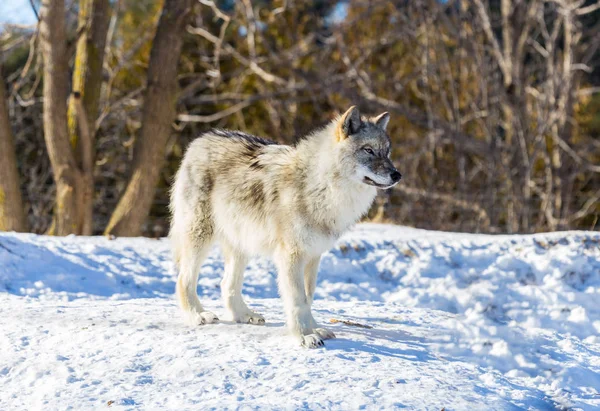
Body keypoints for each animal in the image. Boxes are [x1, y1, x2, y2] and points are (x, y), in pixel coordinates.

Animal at [171, 106, 400, 348]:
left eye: (387, 152)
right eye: (369, 150)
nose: (397, 175)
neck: (321, 188)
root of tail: (202, 139)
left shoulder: (313, 256)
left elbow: (308, 298)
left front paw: (315, 329)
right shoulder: (291, 256)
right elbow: (297, 300)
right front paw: (304, 336)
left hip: (242, 244)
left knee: (226, 284)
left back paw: (244, 315)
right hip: (200, 238)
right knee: (183, 279)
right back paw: (197, 315)